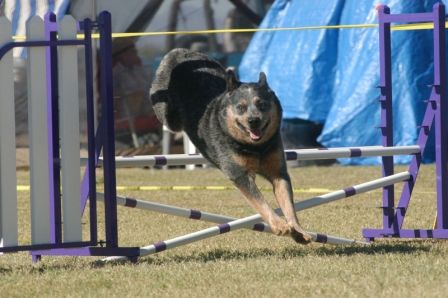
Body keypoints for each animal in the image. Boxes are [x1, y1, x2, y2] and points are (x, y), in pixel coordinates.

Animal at [150, 49, 312, 244]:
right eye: (241, 107)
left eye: (262, 104)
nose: (253, 120)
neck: (256, 148)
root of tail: (179, 51)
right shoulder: (238, 173)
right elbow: (260, 201)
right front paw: (279, 225)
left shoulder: (278, 171)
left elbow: (288, 204)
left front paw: (298, 230)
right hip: (167, 112)